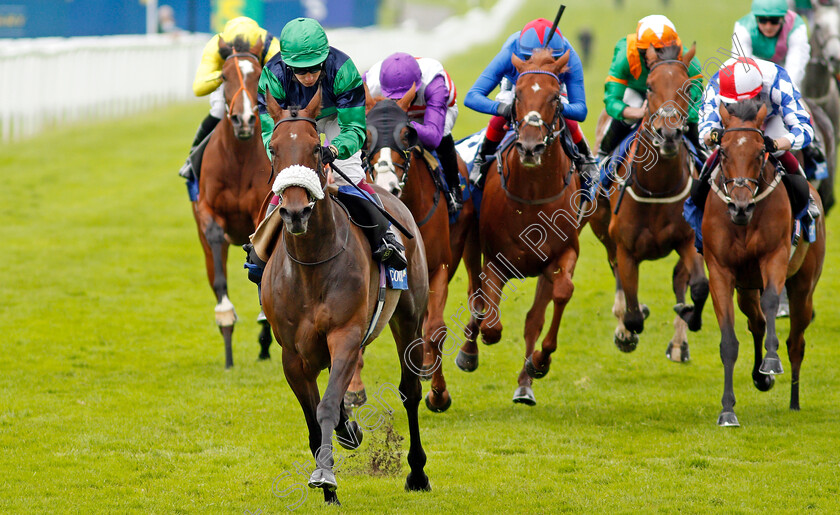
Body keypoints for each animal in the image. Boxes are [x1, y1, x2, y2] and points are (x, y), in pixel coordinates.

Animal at [260, 88, 434, 504]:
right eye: (273, 148)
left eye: (316, 149)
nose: (295, 212)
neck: (310, 266)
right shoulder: (292, 354)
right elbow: (314, 417)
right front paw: (330, 479)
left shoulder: (345, 335)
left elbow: (324, 407)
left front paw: (326, 476)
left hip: (409, 316)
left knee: (410, 391)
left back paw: (417, 472)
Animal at [588, 46, 712, 364]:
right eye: (651, 87)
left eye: (685, 88)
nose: (668, 134)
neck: (657, 188)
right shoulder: (625, 248)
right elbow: (632, 313)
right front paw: (627, 329)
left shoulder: (688, 239)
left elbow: (699, 287)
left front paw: (689, 316)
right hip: (603, 231)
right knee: (617, 273)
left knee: (680, 279)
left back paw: (679, 342)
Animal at [704, 101, 824, 428]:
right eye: (723, 152)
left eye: (761, 152)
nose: (740, 207)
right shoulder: (720, 270)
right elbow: (729, 342)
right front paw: (727, 410)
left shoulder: (774, 256)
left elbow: (771, 301)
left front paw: (770, 362)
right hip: (746, 287)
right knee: (755, 321)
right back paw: (760, 378)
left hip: (803, 286)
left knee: (796, 341)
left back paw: (793, 399)